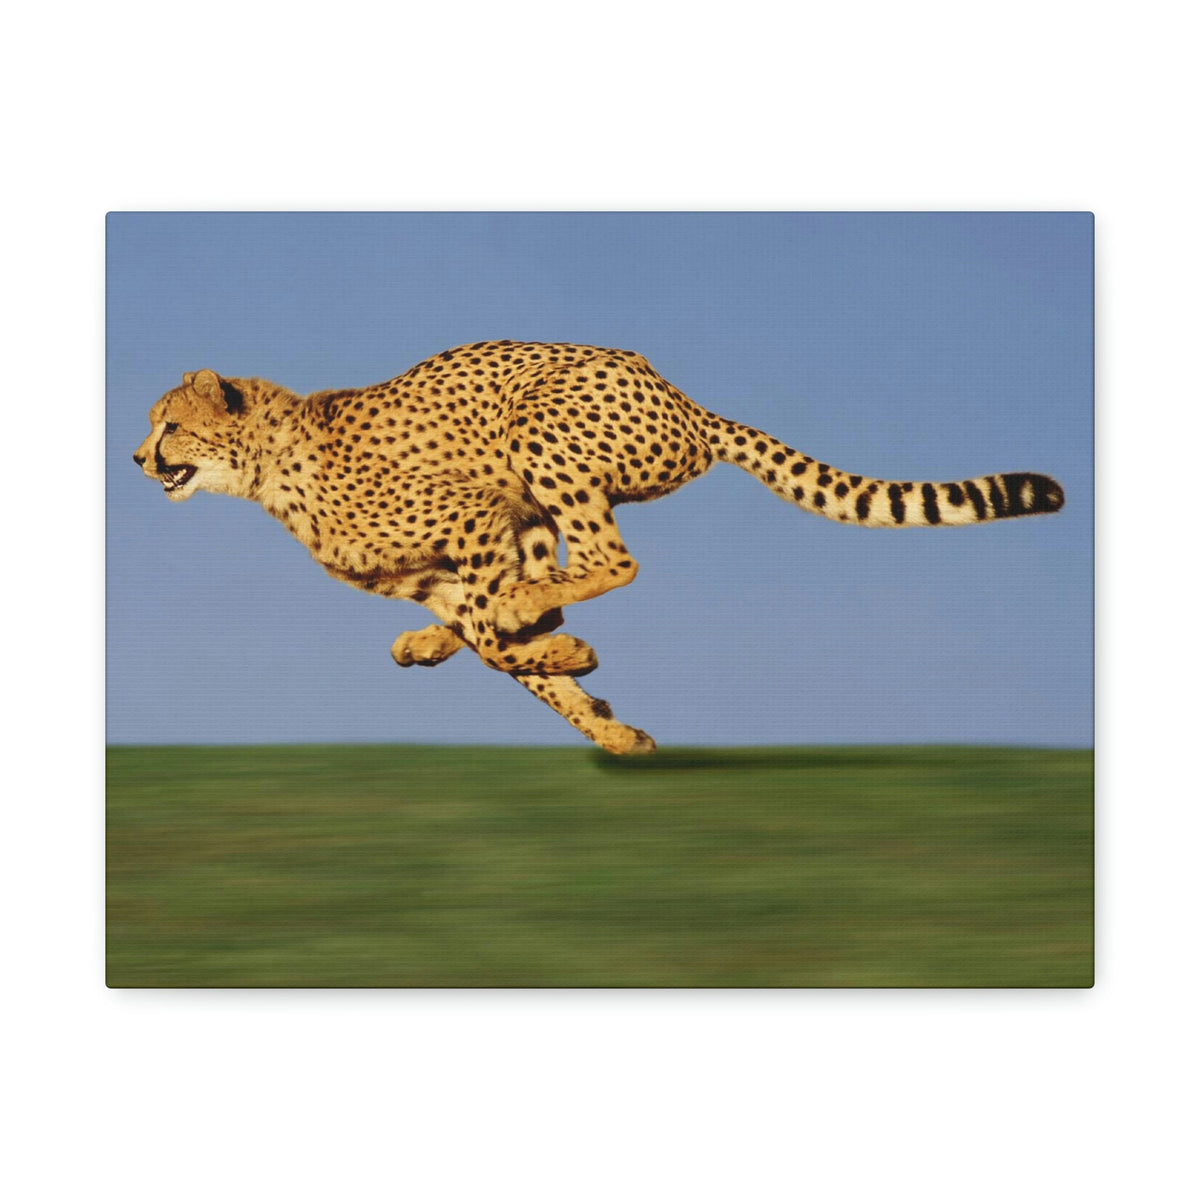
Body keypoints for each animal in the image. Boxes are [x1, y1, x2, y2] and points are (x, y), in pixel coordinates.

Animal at [134, 340, 1065, 754]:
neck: (269, 465)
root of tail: (684, 399)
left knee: (612, 561)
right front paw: (609, 725)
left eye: (168, 424)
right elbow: (501, 649)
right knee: (562, 572)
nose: (137, 458)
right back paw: (436, 643)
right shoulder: (453, 563)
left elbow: (502, 637)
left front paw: (575, 665)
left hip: (537, 429)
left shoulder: (474, 517)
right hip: (539, 502)